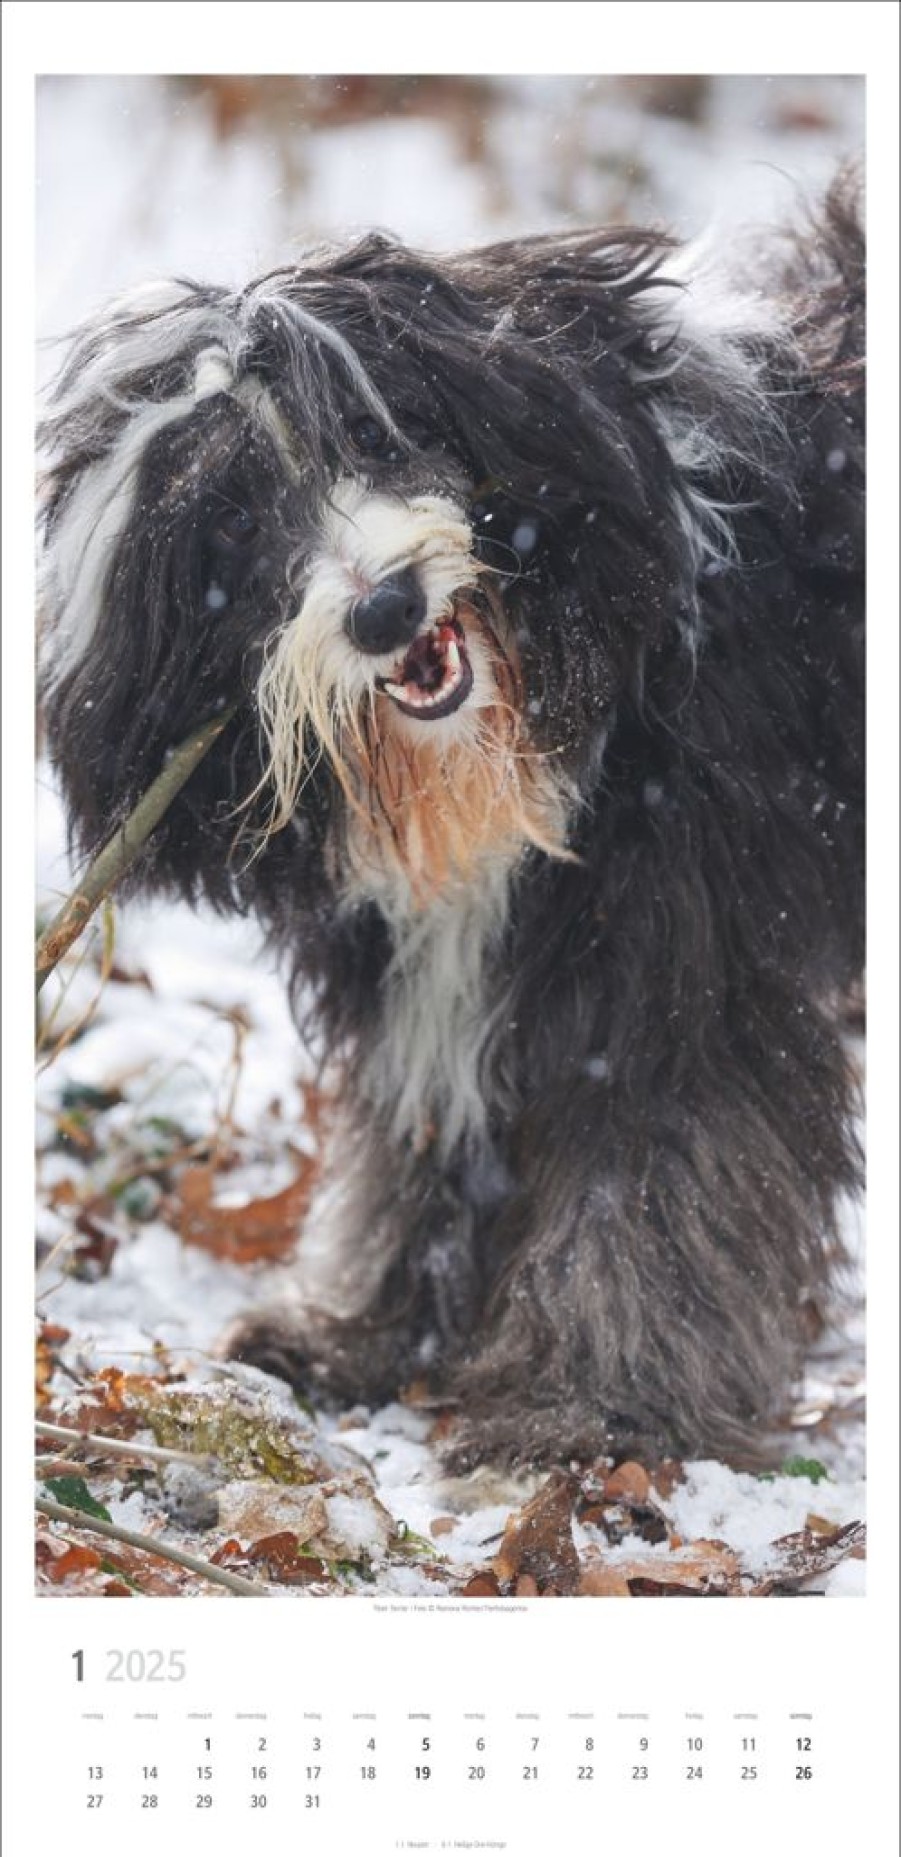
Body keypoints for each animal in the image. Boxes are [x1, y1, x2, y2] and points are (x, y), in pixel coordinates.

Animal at [40, 181, 865, 1470]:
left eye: (372, 433)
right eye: (235, 523)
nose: (385, 608)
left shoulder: (678, 972)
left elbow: (655, 1179)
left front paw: (594, 1404)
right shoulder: (430, 966)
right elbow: (418, 1142)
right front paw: (363, 1337)